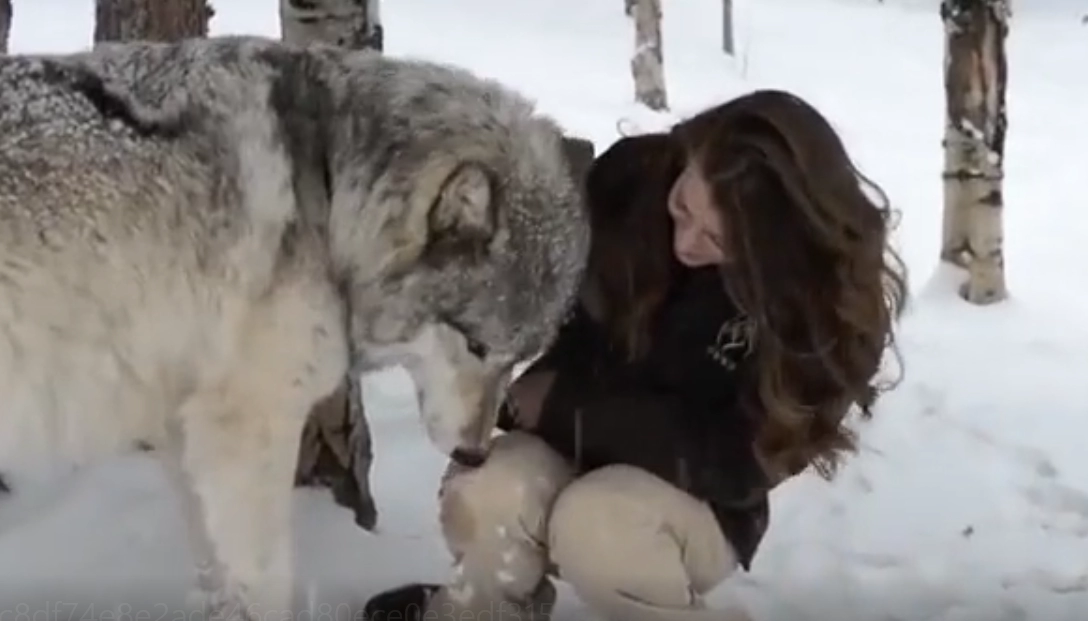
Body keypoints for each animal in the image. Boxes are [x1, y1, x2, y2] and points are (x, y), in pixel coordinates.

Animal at [0, 36, 587, 617]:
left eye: (519, 360)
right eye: (476, 345)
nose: (474, 455)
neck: (330, 192)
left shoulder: (184, 426)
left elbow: (215, 566)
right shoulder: (248, 426)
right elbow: (266, 578)